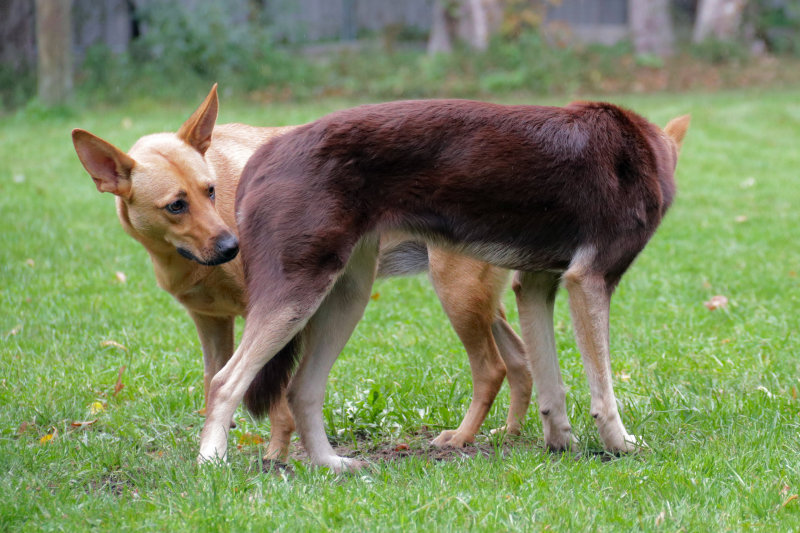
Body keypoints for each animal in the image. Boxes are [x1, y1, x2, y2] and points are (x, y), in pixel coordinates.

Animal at [70, 86, 532, 458]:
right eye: (176, 206)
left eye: (211, 190)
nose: (233, 247)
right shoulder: (213, 323)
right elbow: (214, 381)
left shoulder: (276, 314)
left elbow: (273, 400)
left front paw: (274, 457)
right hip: (478, 301)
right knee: (519, 358)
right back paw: (509, 433)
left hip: (457, 293)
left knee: (491, 369)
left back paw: (462, 438)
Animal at [198, 97, 688, 468]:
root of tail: (266, 152)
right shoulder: (589, 281)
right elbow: (603, 391)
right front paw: (620, 445)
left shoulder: (535, 285)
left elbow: (551, 383)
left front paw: (560, 443)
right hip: (300, 297)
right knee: (224, 382)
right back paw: (211, 461)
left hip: (344, 299)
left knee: (301, 390)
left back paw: (331, 465)